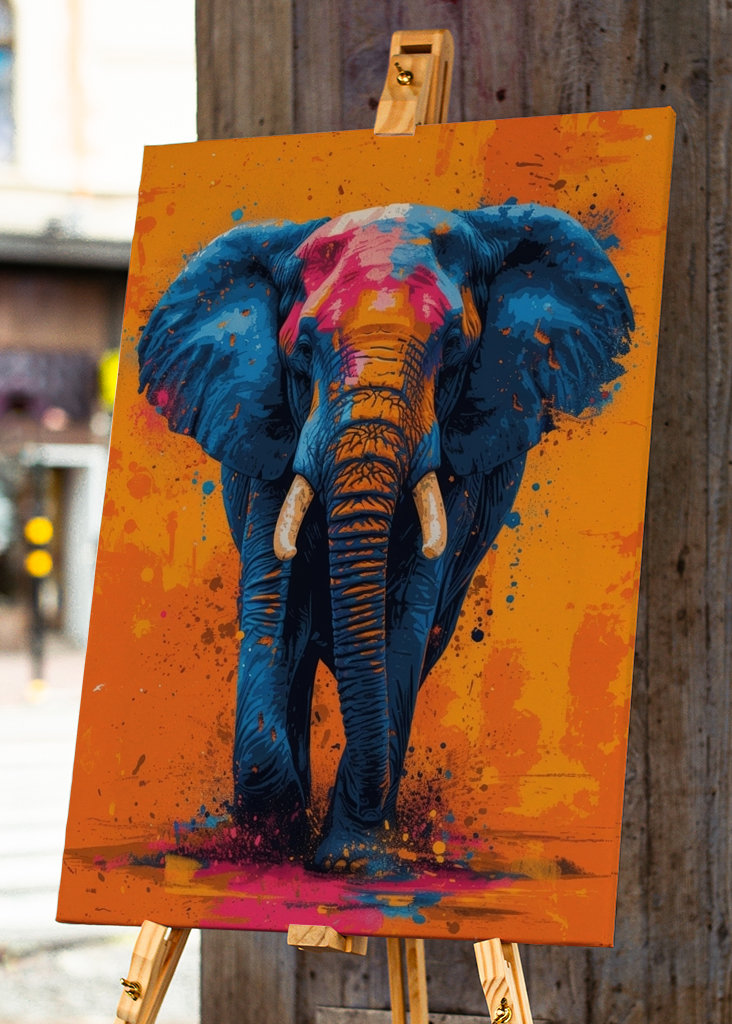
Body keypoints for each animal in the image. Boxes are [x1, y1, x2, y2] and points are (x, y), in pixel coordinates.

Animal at [137, 201, 632, 873]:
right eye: (302, 349)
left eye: (454, 347)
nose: (288, 839)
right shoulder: (267, 427)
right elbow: (276, 607)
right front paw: (274, 839)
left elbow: (403, 618)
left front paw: (350, 860)